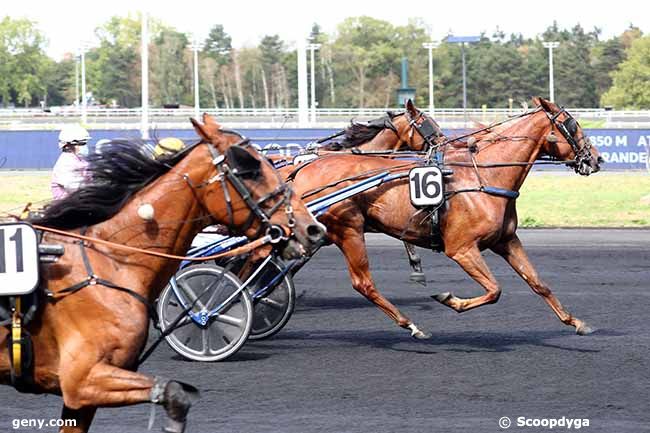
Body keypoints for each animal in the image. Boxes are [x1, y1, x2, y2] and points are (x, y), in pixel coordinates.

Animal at [0, 113, 324, 430]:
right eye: (250, 169)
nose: (312, 228)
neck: (111, 262)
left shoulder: (82, 397)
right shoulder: (83, 380)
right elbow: (174, 392)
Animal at [286, 97, 600, 338]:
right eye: (572, 124)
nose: (596, 158)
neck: (483, 176)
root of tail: (302, 170)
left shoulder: (507, 241)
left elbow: (538, 283)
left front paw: (575, 322)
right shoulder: (462, 249)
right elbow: (494, 290)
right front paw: (450, 299)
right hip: (349, 229)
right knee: (363, 283)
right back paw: (410, 325)